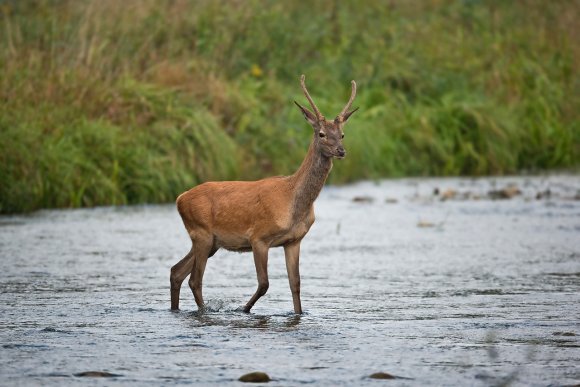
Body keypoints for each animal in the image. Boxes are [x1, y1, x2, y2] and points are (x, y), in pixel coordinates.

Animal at [170, 75, 356, 316]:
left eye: (342, 134)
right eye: (321, 133)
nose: (341, 151)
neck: (293, 202)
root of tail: (179, 198)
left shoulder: (294, 241)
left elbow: (295, 283)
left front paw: (298, 313)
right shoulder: (259, 237)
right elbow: (264, 283)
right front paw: (244, 309)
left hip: (211, 242)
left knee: (176, 272)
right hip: (201, 233)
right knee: (195, 280)